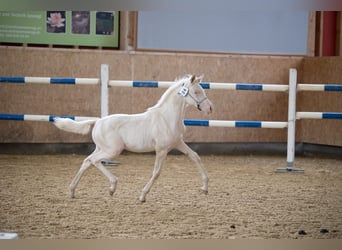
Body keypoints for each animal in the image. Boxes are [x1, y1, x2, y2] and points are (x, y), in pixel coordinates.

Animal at [53, 73, 212, 201]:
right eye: (196, 92)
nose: (210, 108)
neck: (166, 118)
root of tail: (97, 121)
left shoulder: (178, 143)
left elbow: (195, 156)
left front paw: (205, 188)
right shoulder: (161, 149)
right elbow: (156, 172)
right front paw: (143, 196)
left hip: (102, 148)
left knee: (87, 161)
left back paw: (73, 191)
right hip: (112, 150)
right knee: (94, 160)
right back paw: (112, 186)